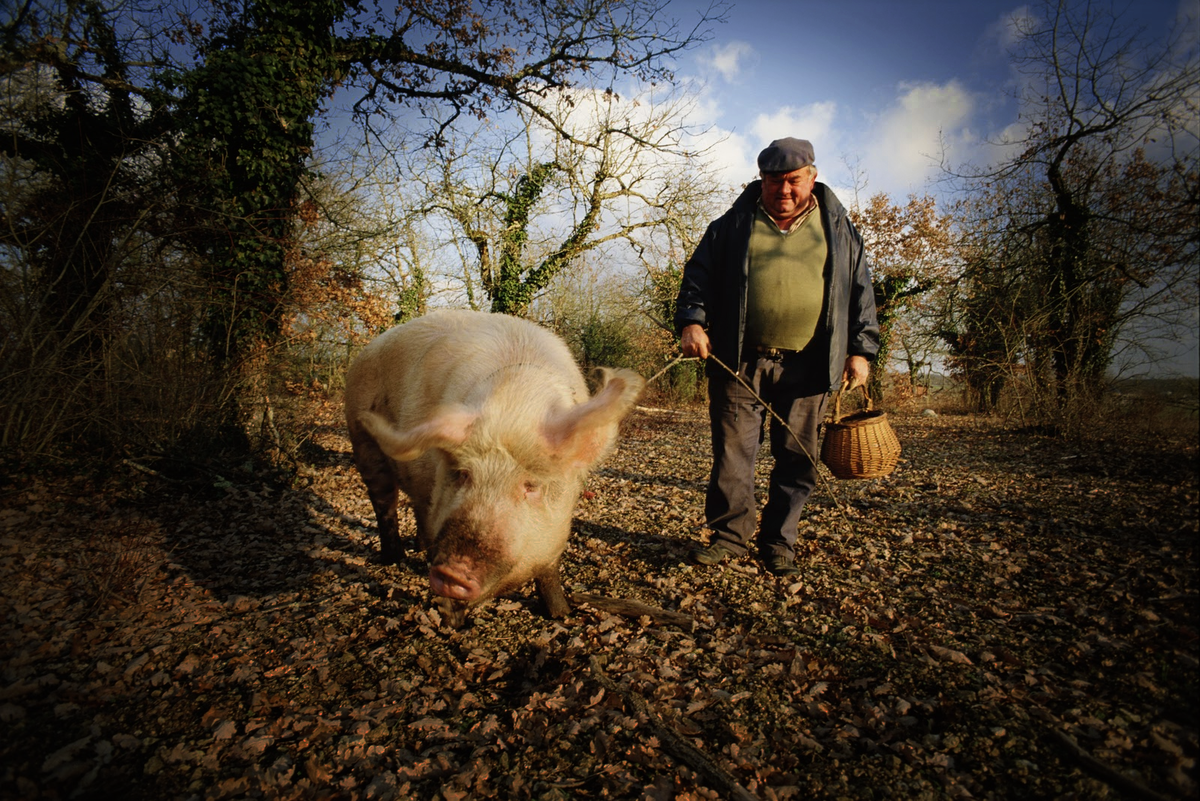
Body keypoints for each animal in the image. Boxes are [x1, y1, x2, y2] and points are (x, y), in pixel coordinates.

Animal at [345, 309, 648, 623]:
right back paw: (394, 559)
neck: (515, 402)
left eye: (531, 486)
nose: (453, 572)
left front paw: (561, 615)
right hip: (362, 441)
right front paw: (453, 623)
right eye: (463, 475)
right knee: (385, 505)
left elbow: (548, 572)